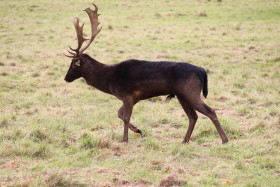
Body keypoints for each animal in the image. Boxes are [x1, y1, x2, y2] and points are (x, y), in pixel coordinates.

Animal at [64, 3, 229, 144]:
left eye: (73, 65)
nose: (66, 78)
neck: (110, 80)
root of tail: (202, 71)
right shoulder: (133, 98)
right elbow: (119, 114)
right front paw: (139, 130)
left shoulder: (127, 95)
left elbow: (124, 117)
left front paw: (125, 139)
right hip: (182, 95)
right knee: (193, 117)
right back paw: (185, 140)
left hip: (191, 91)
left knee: (210, 111)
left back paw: (224, 139)